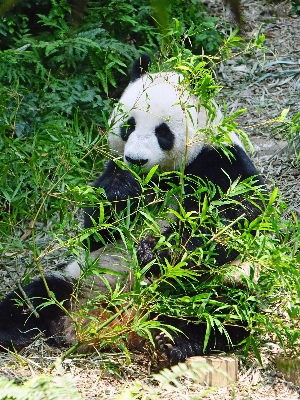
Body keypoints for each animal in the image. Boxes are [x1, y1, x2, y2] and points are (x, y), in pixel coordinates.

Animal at [0, 54, 264, 366]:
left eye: (163, 132)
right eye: (129, 125)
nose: (136, 160)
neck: (160, 177)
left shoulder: (221, 159)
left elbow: (233, 217)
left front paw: (153, 252)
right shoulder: (113, 168)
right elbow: (96, 230)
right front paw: (123, 190)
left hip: (214, 286)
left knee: (222, 309)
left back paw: (175, 342)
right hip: (81, 279)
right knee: (35, 295)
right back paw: (11, 330)